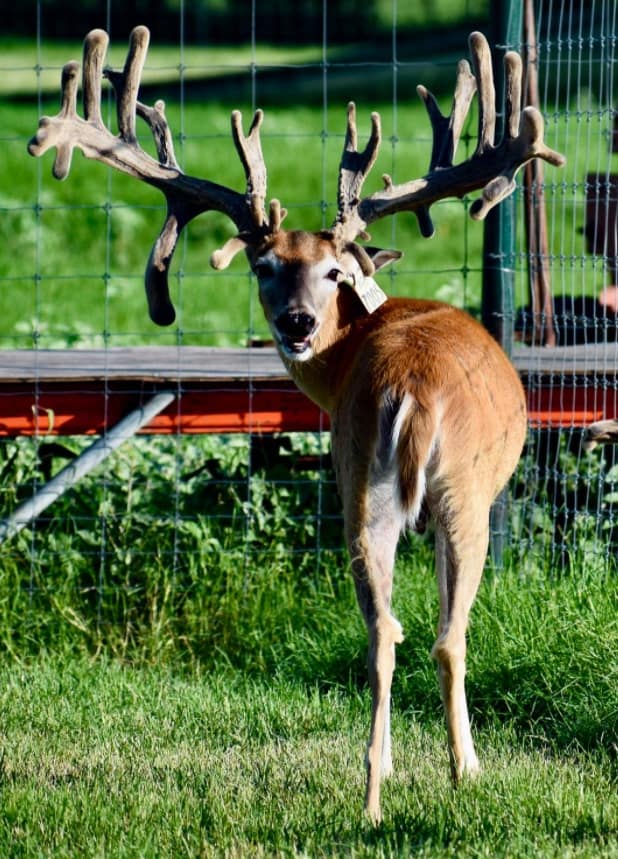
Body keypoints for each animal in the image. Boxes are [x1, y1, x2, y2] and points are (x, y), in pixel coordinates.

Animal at [28, 26, 565, 822]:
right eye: (263, 266)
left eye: (334, 272)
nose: (297, 322)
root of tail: (411, 385)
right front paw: (458, 766)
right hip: (460, 493)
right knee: (446, 635)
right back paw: (461, 772)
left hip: (358, 485)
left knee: (381, 630)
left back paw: (373, 794)